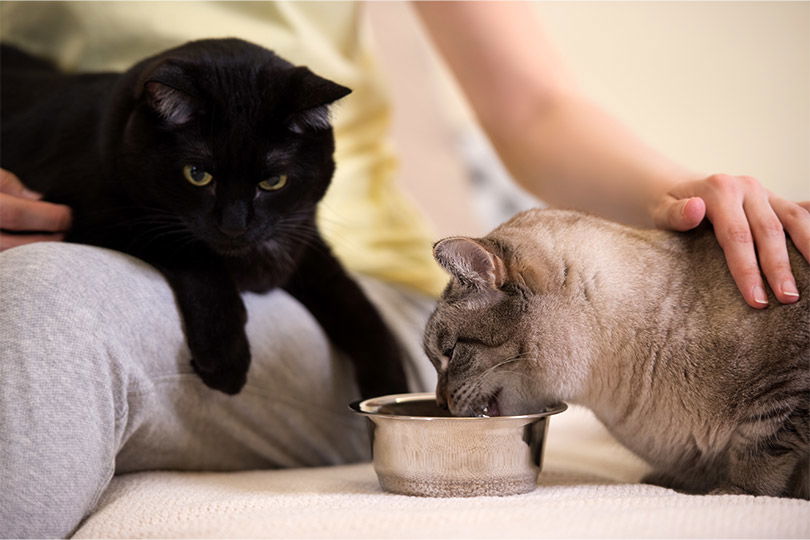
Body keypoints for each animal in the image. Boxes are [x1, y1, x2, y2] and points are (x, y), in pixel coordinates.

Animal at [0, 39, 404, 396]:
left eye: (273, 181)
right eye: (198, 174)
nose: (234, 225)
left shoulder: (305, 245)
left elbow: (360, 309)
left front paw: (391, 394)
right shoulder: (92, 218)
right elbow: (196, 255)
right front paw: (225, 358)